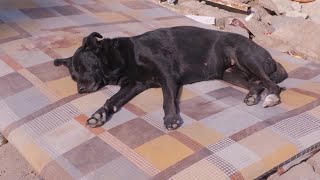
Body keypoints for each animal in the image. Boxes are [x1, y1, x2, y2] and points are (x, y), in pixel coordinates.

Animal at [53, 26, 288, 129]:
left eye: (82, 66)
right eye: (73, 76)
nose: (80, 90)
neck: (120, 57)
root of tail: (269, 56)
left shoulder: (166, 74)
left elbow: (168, 100)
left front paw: (171, 119)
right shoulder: (134, 85)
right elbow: (112, 100)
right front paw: (100, 115)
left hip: (244, 54)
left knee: (272, 84)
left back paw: (271, 98)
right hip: (229, 74)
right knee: (257, 84)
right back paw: (253, 96)